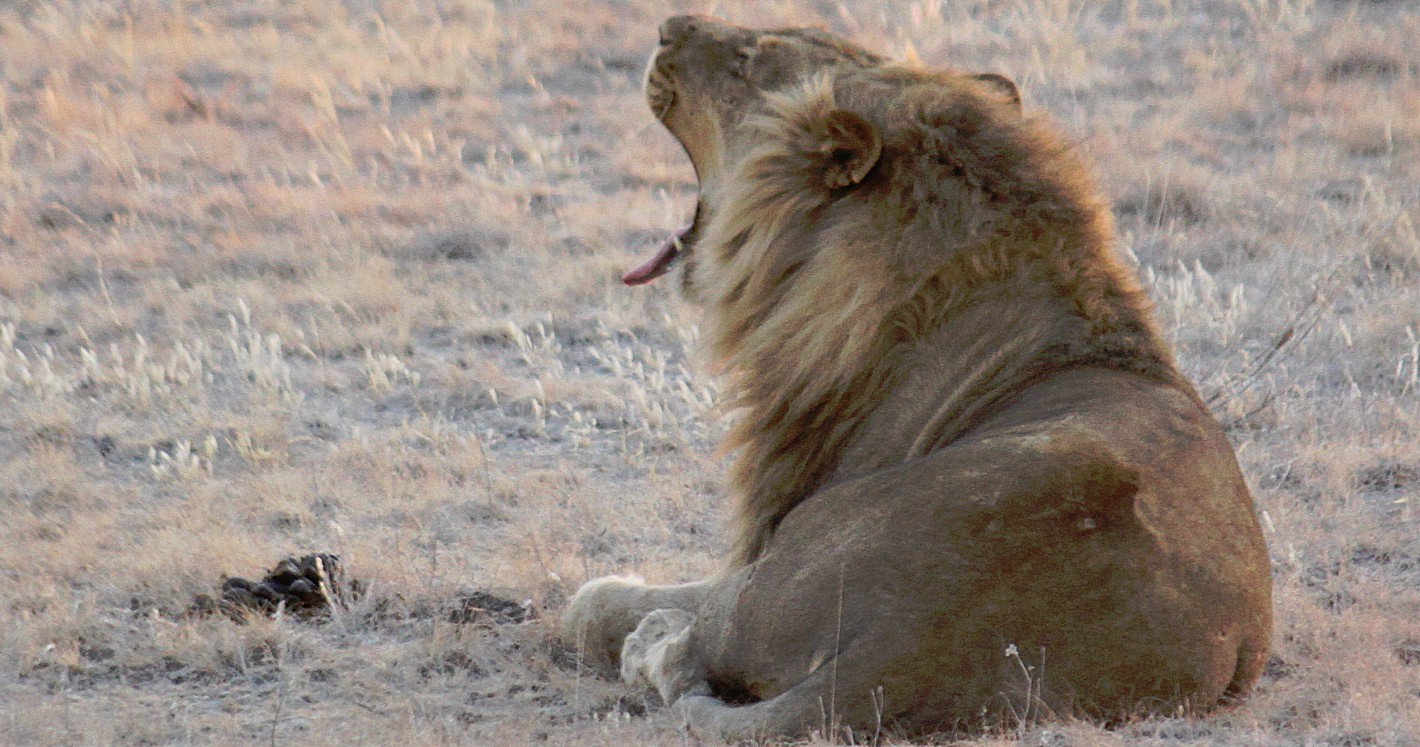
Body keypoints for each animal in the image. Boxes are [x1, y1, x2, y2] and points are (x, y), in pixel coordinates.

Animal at [565, 16, 1278, 744]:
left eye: (748, 59)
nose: (669, 26)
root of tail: (912, 641)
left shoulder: (761, 539)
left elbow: (614, 599)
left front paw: (617, 601)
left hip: (788, 556)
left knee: (684, 638)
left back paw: (648, 638)